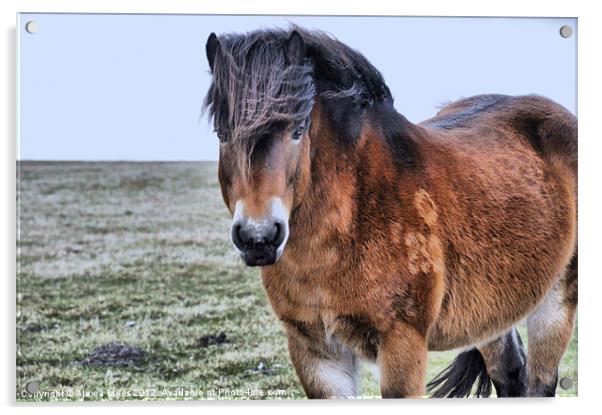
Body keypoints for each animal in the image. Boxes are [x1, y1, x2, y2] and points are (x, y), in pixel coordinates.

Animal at [203, 26, 576, 400]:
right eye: (222, 134)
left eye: (297, 131)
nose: (259, 237)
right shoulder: (315, 352)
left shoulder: (401, 343)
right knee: (509, 374)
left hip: (557, 301)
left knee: (540, 382)